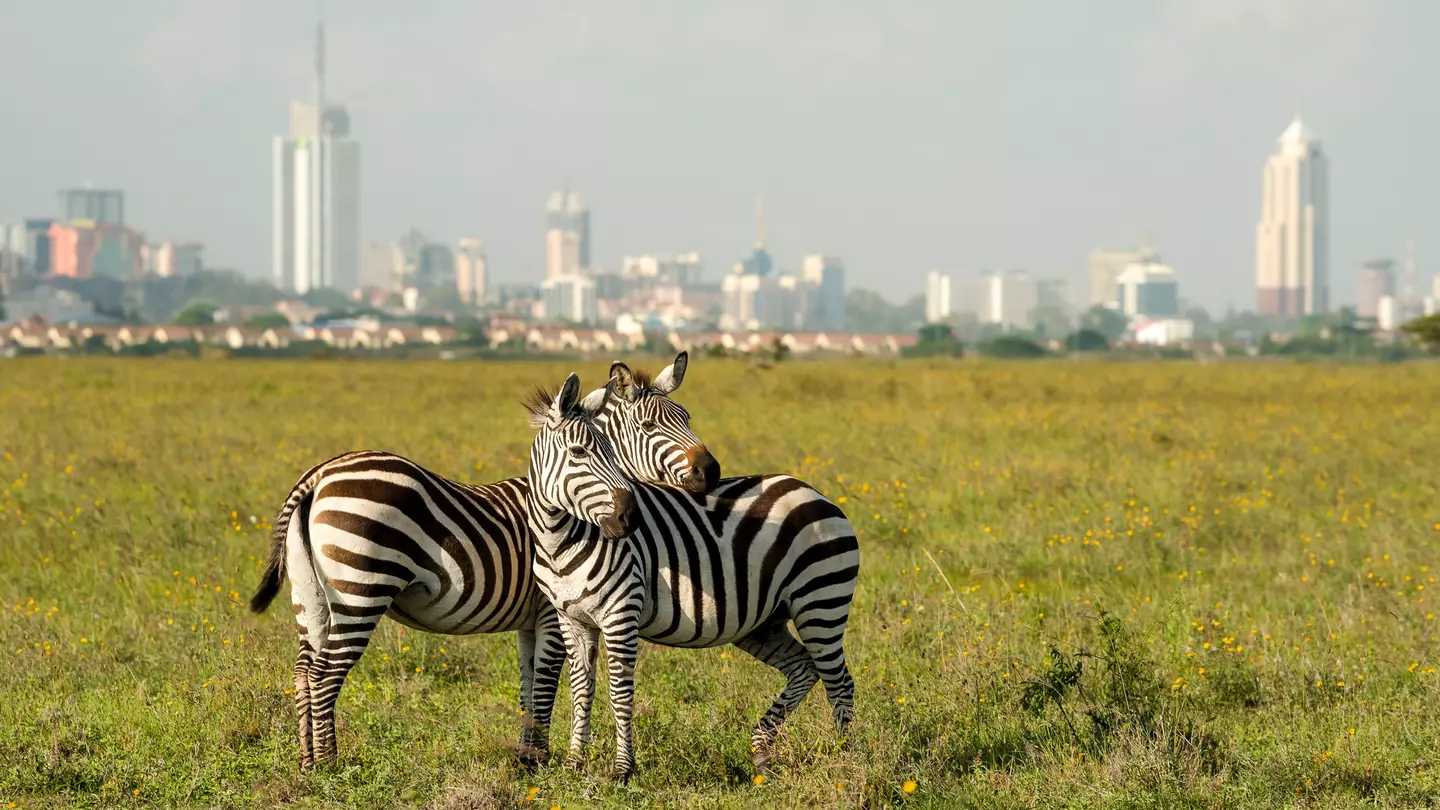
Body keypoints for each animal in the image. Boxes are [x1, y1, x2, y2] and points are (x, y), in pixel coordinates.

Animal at [247, 354, 715, 770]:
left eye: (687, 417)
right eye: (650, 426)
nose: (711, 471)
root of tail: (318, 475)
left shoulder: (531, 620)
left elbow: (528, 684)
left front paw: (526, 757)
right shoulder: (551, 611)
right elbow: (546, 683)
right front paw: (538, 759)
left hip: (310, 595)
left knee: (303, 670)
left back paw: (307, 761)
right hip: (361, 589)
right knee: (325, 674)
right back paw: (330, 764)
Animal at [526, 372, 861, 782]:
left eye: (611, 453)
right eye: (578, 453)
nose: (630, 518)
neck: (561, 541)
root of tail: (815, 493)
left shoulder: (621, 614)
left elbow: (620, 693)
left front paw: (622, 769)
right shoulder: (571, 619)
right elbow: (580, 690)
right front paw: (575, 763)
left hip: (821, 602)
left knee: (839, 683)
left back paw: (844, 759)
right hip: (764, 623)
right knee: (804, 668)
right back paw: (762, 750)